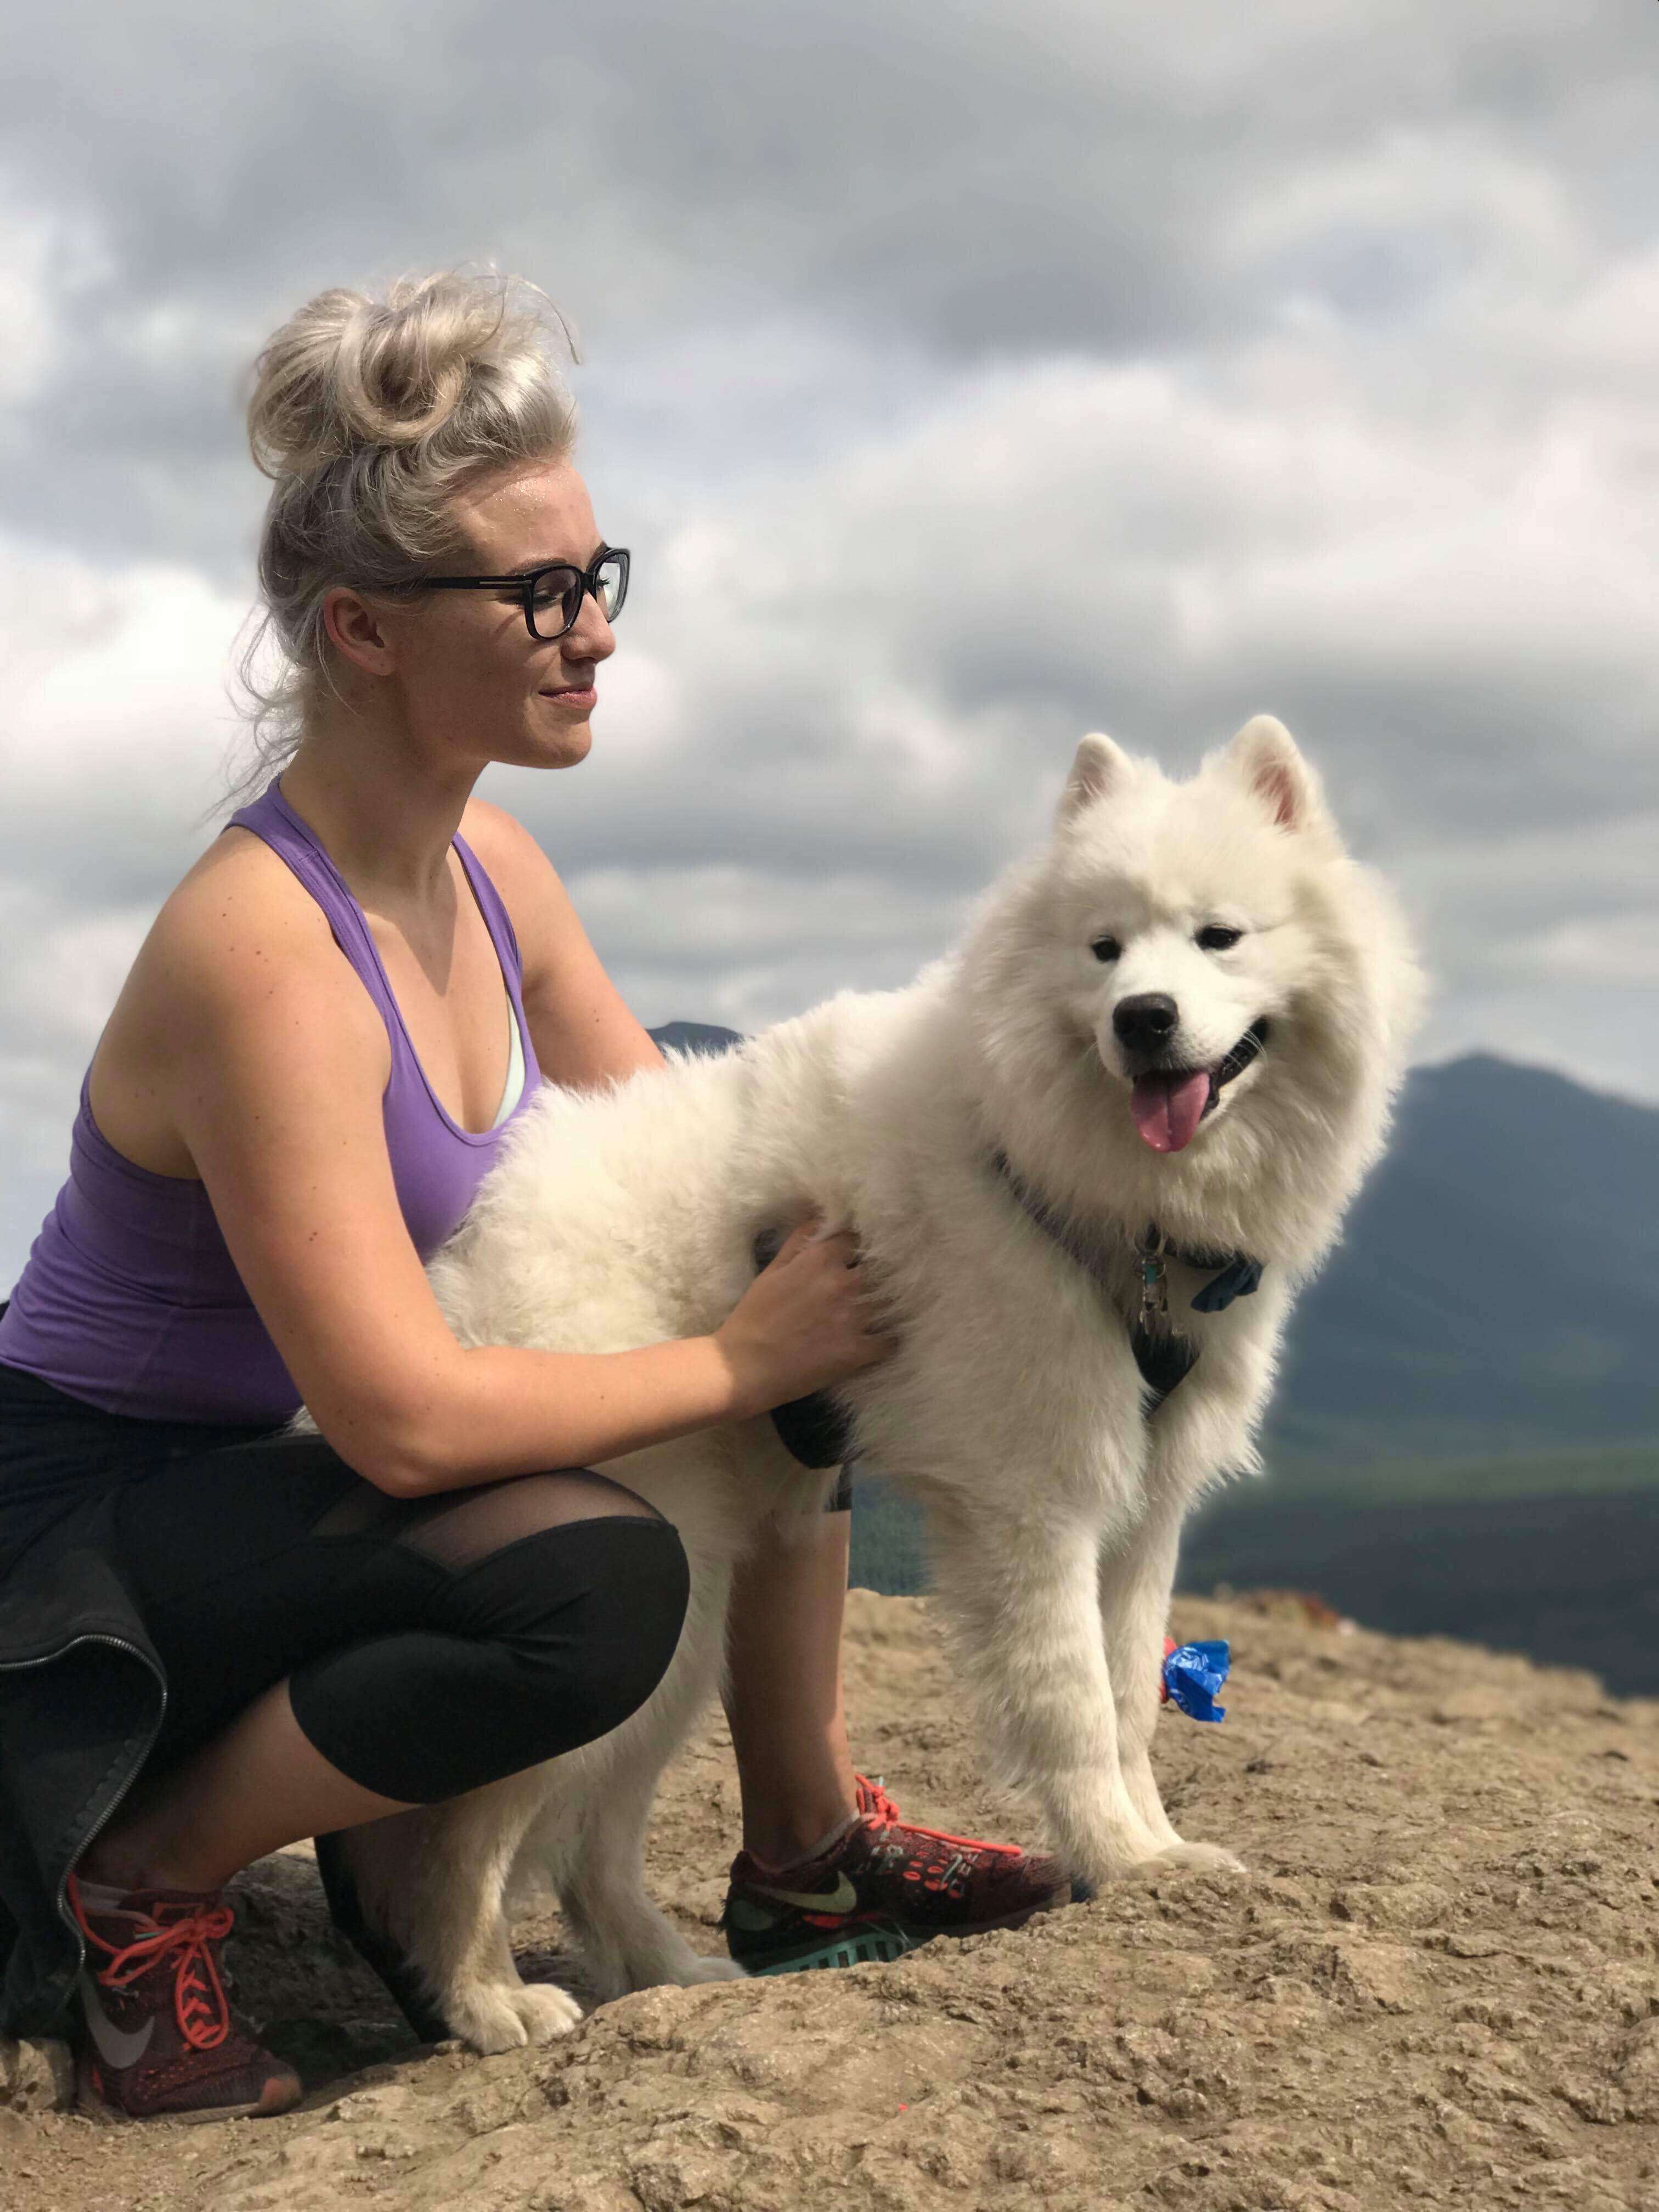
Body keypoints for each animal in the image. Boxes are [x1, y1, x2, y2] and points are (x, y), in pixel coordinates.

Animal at [327, 716, 1433, 2044]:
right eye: (1104, 949)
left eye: (1220, 936)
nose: (1144, 1018)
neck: (1105, 1204)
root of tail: (476, 1253)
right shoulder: (1032, 1504)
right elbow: (1072, 1707)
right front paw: (1114, 1863)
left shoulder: (1142, 1515)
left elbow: (1129, 1703)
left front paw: (1162, 1853)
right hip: (655, 1590)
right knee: (464, 1835)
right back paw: (487, 1999)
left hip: (692, 1620)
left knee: (591, 1851)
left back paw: (671, 1973)